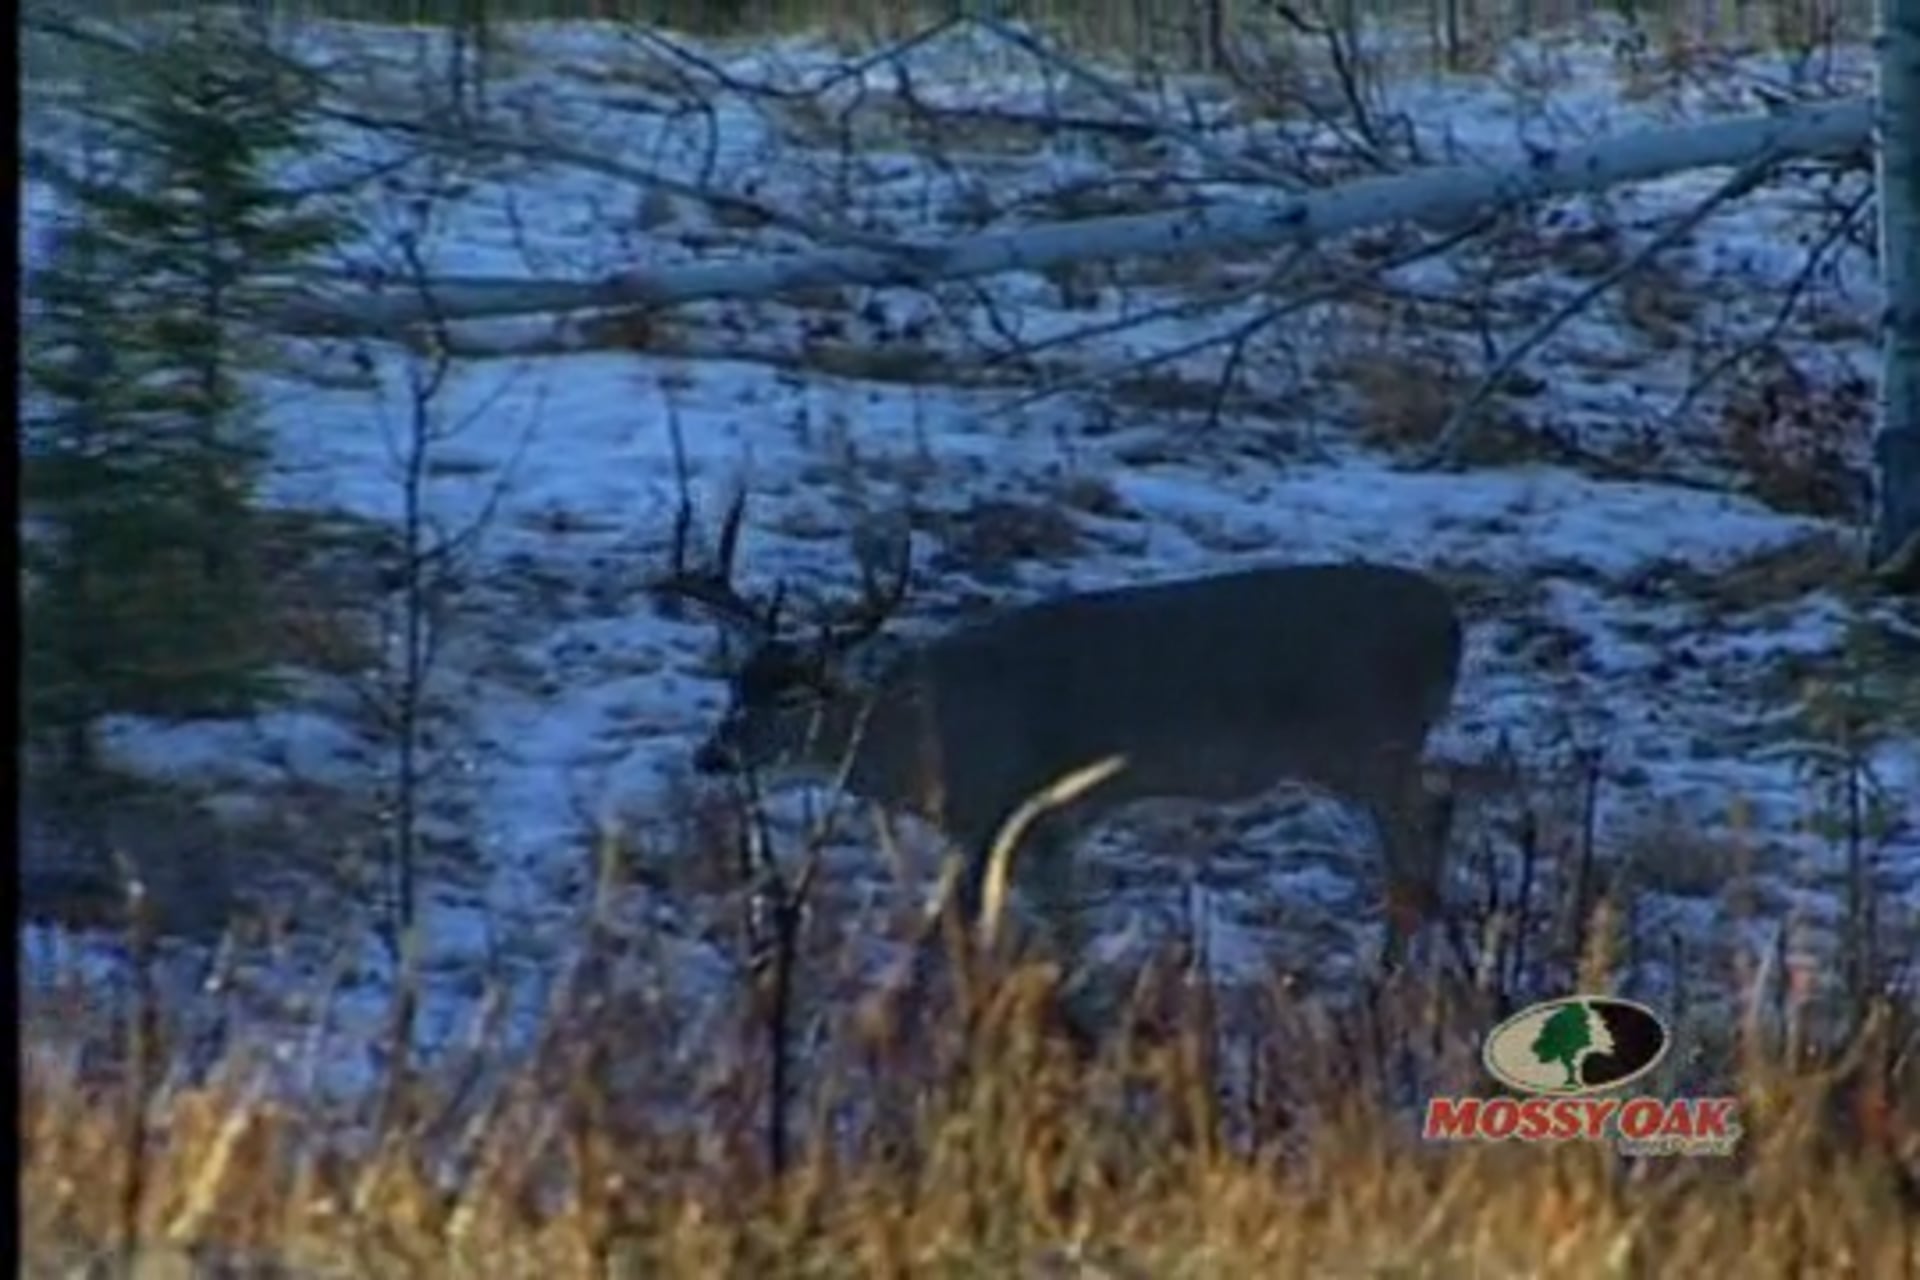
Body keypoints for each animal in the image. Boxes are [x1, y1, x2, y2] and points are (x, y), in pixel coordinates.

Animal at [651, 490, 1464, 975]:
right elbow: (1066, 933)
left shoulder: (997, 816)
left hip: (1368, 743)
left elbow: (961, 936)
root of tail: (1451, 622)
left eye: (793, 696)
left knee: (1418, 835)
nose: (712, 754)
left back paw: (1393, 977)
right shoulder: (1058, 830)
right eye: (735, 684)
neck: (924, 742)